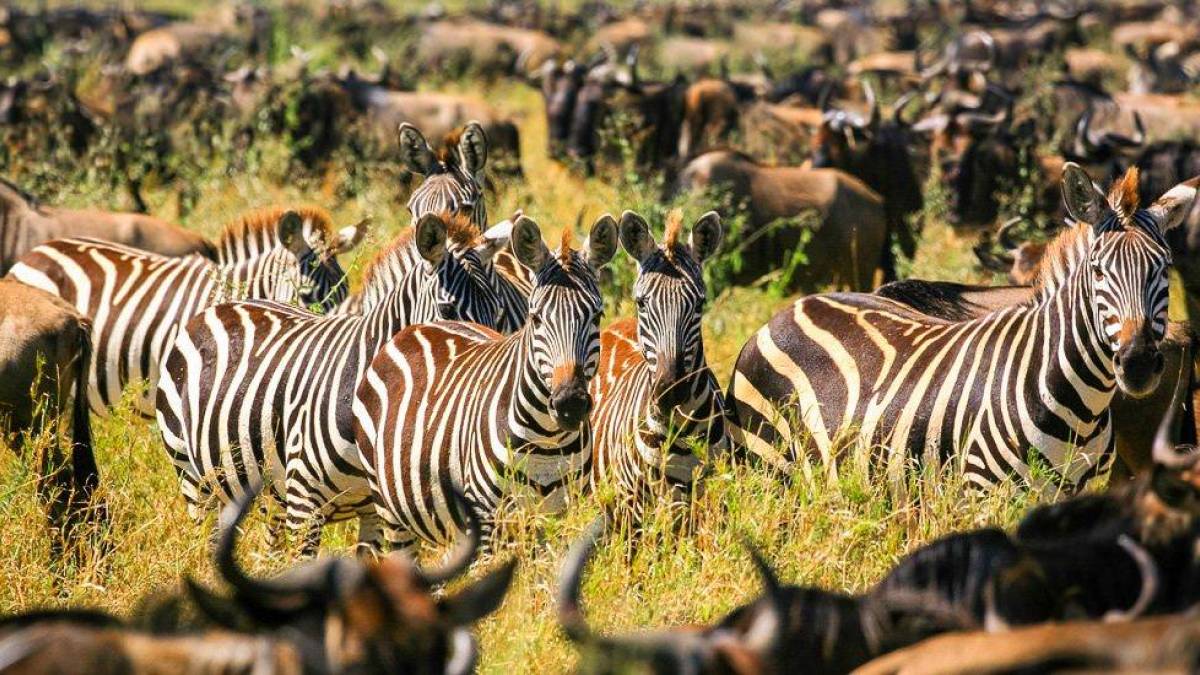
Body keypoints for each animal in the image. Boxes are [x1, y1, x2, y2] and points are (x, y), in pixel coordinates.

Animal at [155, 212, 513, 554]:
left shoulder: (375, 511)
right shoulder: (304, 504)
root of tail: (223, 305)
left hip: (265, 489)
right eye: (447, 309)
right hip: (192, 475)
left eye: (498, 313)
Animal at [352, 214, 618, 551]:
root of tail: (415, 329)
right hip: (390, 510)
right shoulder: (488, 520)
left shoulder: (559, 520)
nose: (569, 403)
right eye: (535, 318)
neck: (548, 440)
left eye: (597, 316)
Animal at [726, 164, 1199, 490]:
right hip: (771, 466)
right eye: (1098, 270)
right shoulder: (982, 490)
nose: (1137, 363)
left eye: (1164, 268)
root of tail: (792, 308)